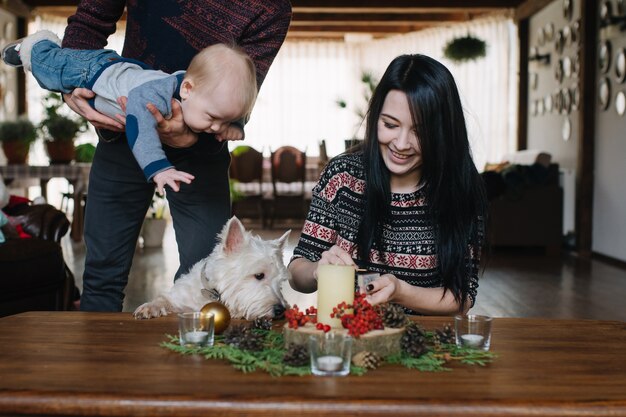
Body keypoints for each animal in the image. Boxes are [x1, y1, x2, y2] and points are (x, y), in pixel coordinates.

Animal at [134, 218, 290, 318]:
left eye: (280, 283)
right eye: (259, 275)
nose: (281, 310)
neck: (212, 292)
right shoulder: (179, 299)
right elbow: (164, 300)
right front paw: (149, 308)